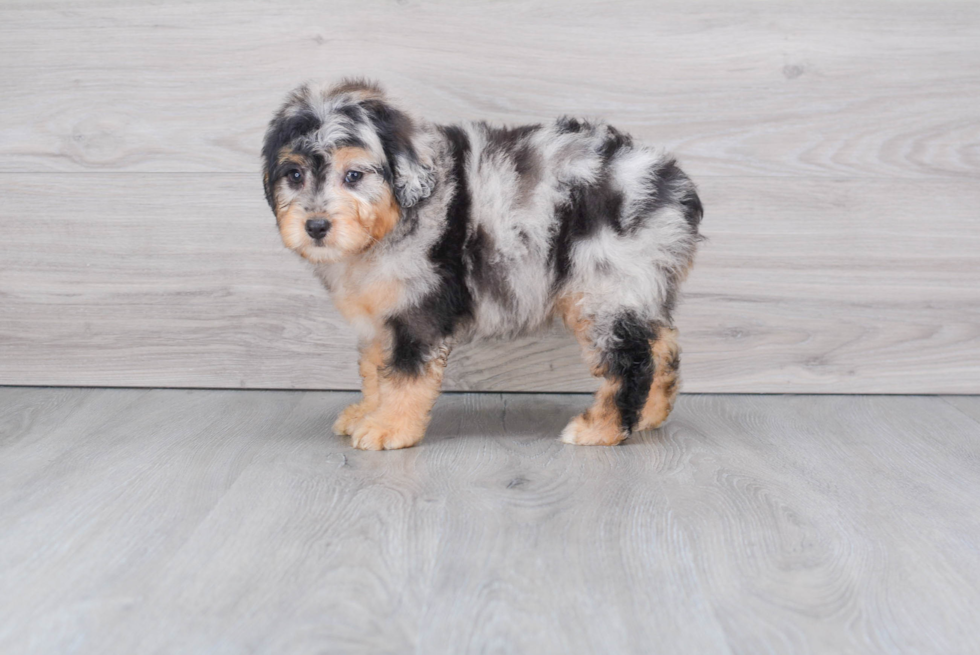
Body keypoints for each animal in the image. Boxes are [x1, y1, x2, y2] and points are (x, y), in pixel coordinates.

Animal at [262, 79, 704, 452]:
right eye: (294, 175)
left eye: (354, 175)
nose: (316, 226)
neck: (396, 221)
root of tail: (672, 185)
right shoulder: (381, 317)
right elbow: (375, 371)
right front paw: (367, 413)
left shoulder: (419, 308)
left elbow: (405, 376)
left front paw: (389, 427)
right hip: (639, 285)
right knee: (663, 344)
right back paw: (650, 415)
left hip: (605, 286)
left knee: (631, 359)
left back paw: (602, 429)